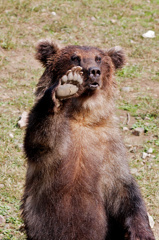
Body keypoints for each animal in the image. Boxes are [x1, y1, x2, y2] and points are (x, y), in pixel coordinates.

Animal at [21, 39, 155, 240]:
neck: (82, 116)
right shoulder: (54, 149)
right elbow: (41, 139)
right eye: (74, 57)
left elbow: (124, 189)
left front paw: (141, 232)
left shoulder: (109, 146)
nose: (94, 71)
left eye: (99, 58)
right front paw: (65, 87)